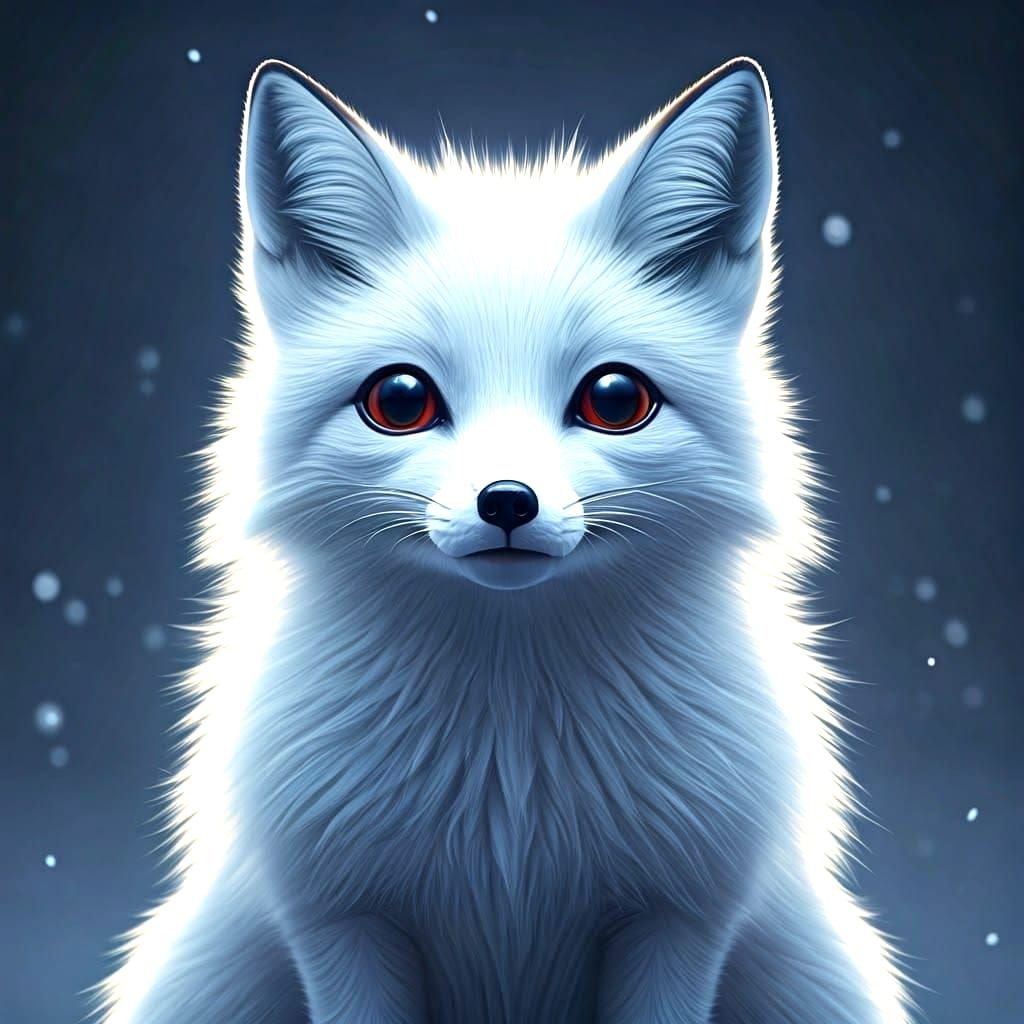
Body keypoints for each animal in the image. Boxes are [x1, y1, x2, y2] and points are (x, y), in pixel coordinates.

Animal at [93, 56, 914, 1024]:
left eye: (615, 398)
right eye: (400, 399)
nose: (508, 503)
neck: (510, 783)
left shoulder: (677, 922)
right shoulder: (341, 922)